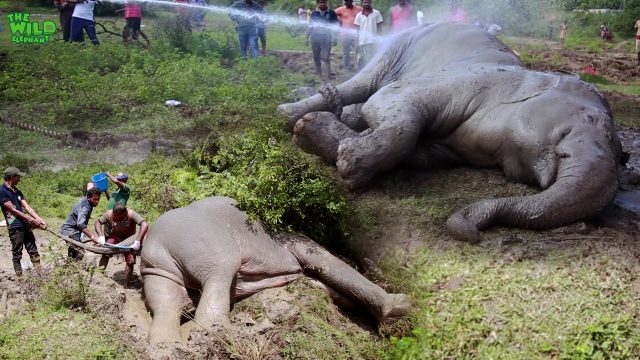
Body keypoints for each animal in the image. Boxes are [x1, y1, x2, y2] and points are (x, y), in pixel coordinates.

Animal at [140, 197, 412, 344]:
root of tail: (159, 242)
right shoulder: (296, 242)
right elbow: (325, 262)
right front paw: (403, 308)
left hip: (158, 268)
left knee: (167, 299)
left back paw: (166, 345)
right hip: (207, 246)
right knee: (217, 277)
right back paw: (214, 331)